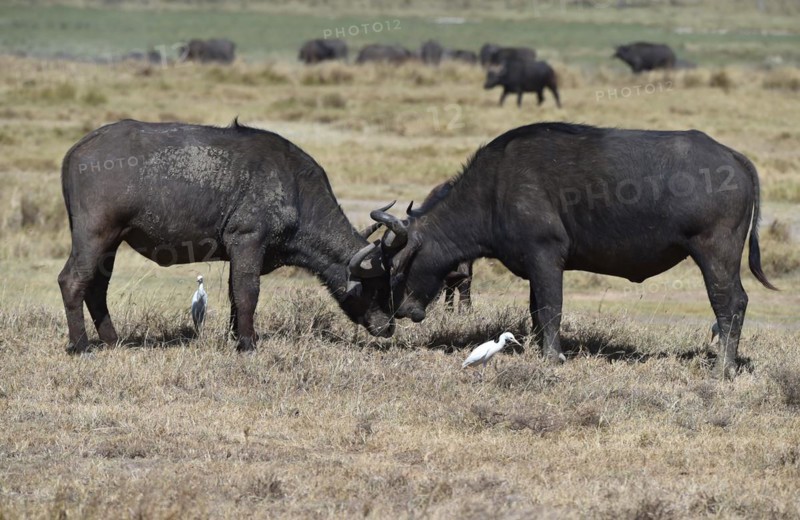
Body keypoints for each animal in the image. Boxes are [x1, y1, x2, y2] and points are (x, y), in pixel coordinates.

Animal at [58, 119, 395, 354]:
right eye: (377, 286)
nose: (389, 326)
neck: (297, 191)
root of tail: (77, 149)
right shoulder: (248, 241)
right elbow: (248, 293)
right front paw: (248, 344)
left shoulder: (239, 253)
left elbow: (236, 294)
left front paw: (239, 336)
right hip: (95, 235)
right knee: (72, 281)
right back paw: (81, 346)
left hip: (111, 244)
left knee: (96, 288)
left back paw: (112, 340)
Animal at [371, 122, 776, 379]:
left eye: (396, 266)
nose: (398, 311)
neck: (495, 188)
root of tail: (734, 158)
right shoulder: (534, 267)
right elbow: (536, 312)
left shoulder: (546, 258)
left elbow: (552, 310)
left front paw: (552, 358)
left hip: (715, 255)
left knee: (730, 304)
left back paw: (723, 369)